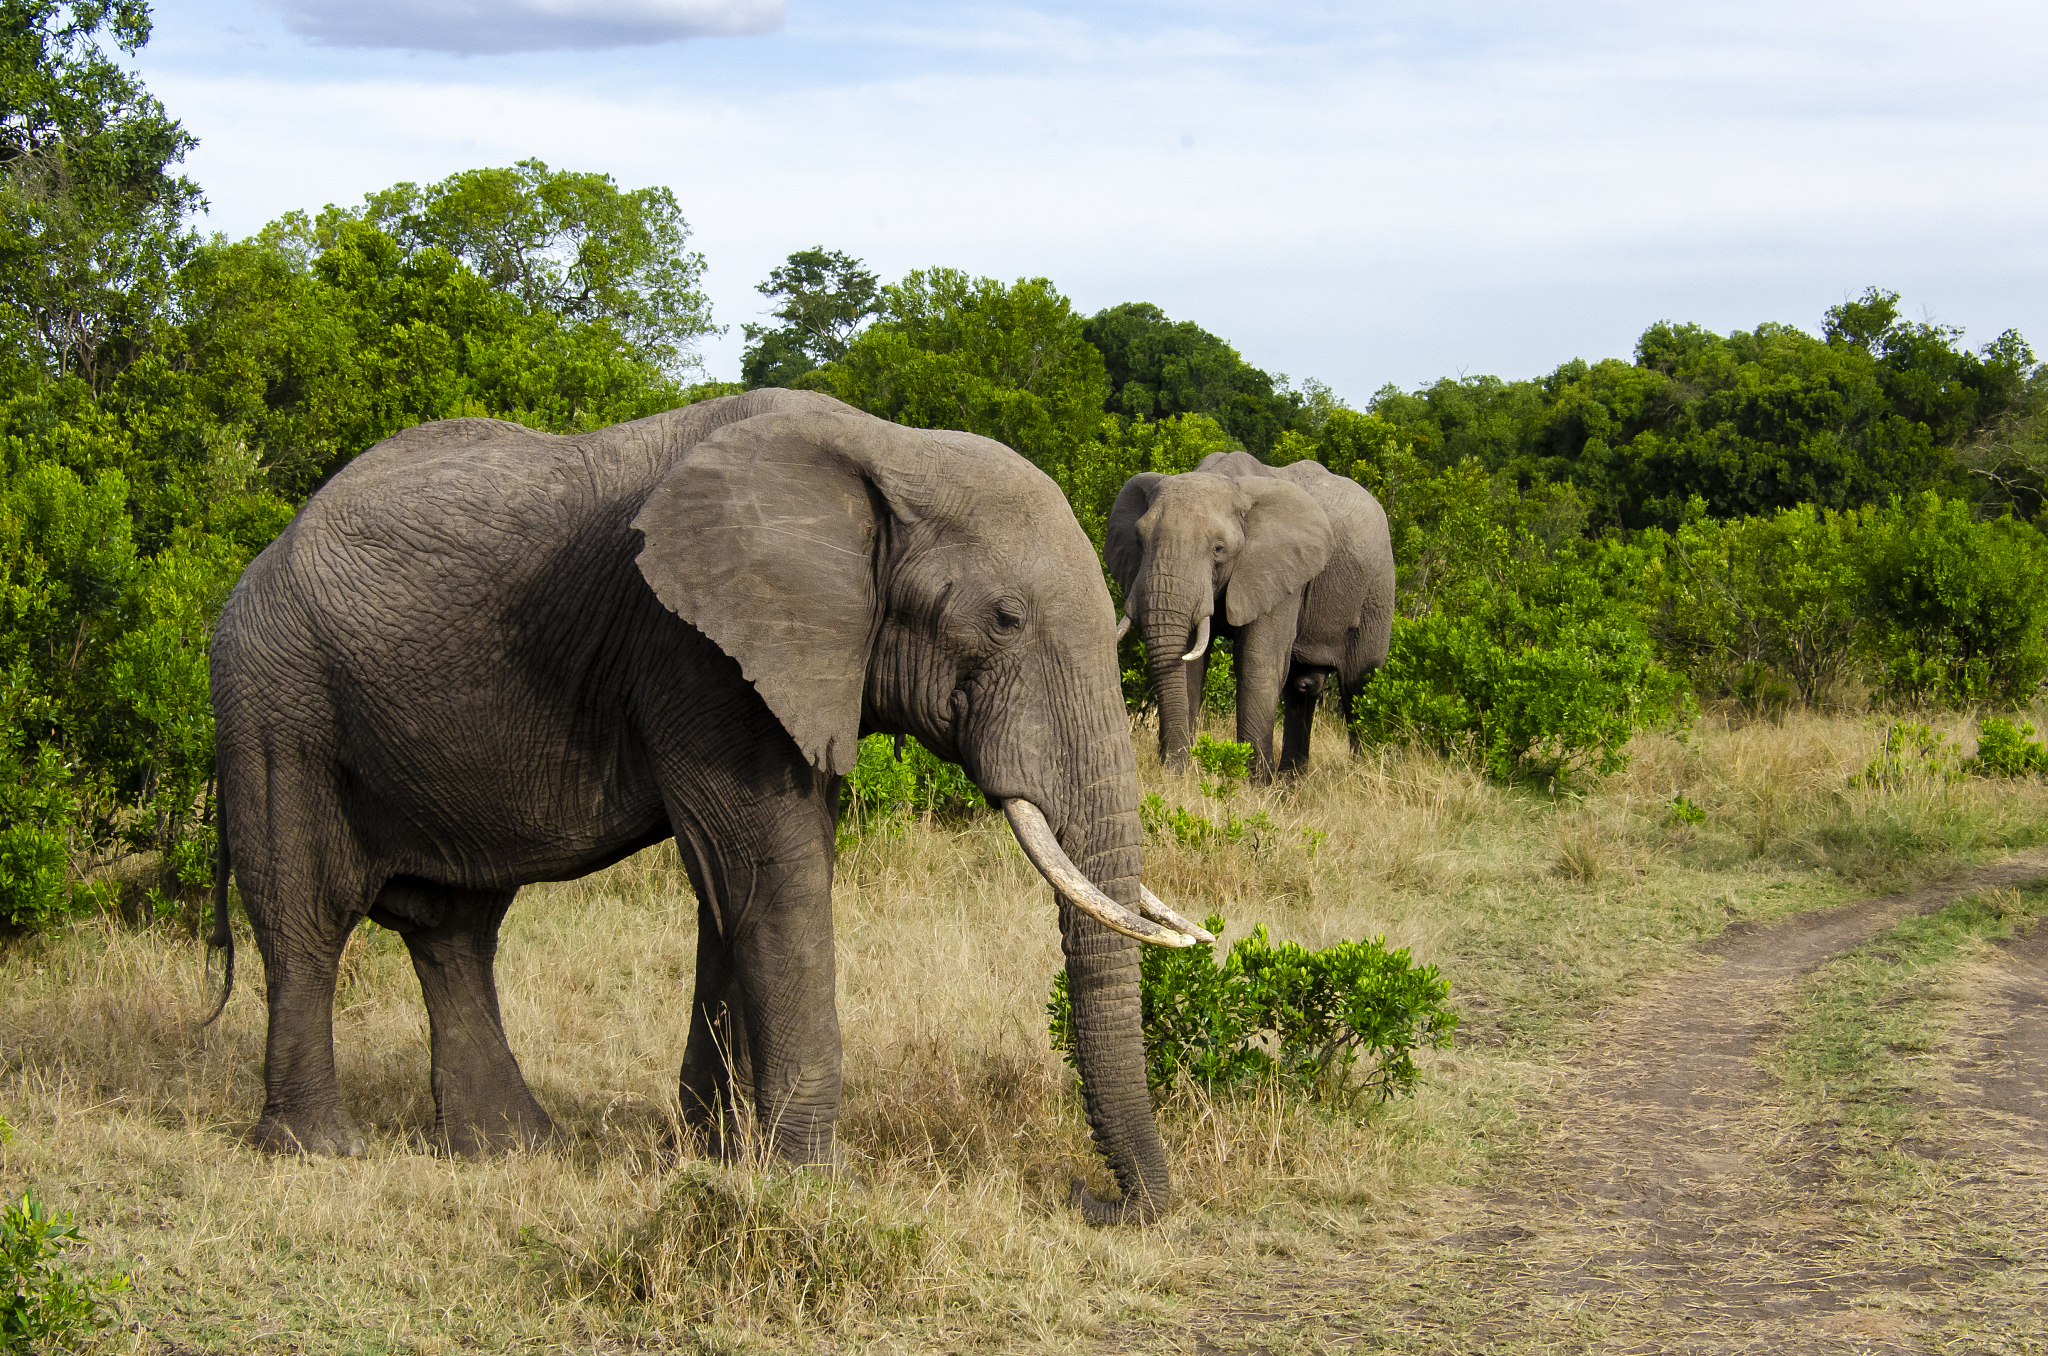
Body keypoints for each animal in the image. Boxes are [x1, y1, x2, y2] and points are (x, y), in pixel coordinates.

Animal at [204, 388, 1208, 1224]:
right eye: (1005, 619)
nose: (1093, 1200)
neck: (886, 449)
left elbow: (742, 889)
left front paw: (718, 1159)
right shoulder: (696, 652)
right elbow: (769, 874)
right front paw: (816, 1183)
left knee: (455, 928)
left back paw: (511, 1147)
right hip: (274, 698)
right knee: (306, 915)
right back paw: (321, 1150)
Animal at [1106, 449, 1394, 781]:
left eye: (1218, 549)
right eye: (1139, 541)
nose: (1169, 769)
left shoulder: (1279, 571)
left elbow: (1257, 660)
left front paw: (1252, 784)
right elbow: (1189, 660)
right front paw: (1182, 775)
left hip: (1377, 591)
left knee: (1358, 684)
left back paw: (1365, 775)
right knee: (1301, 689)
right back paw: (1290, 785)